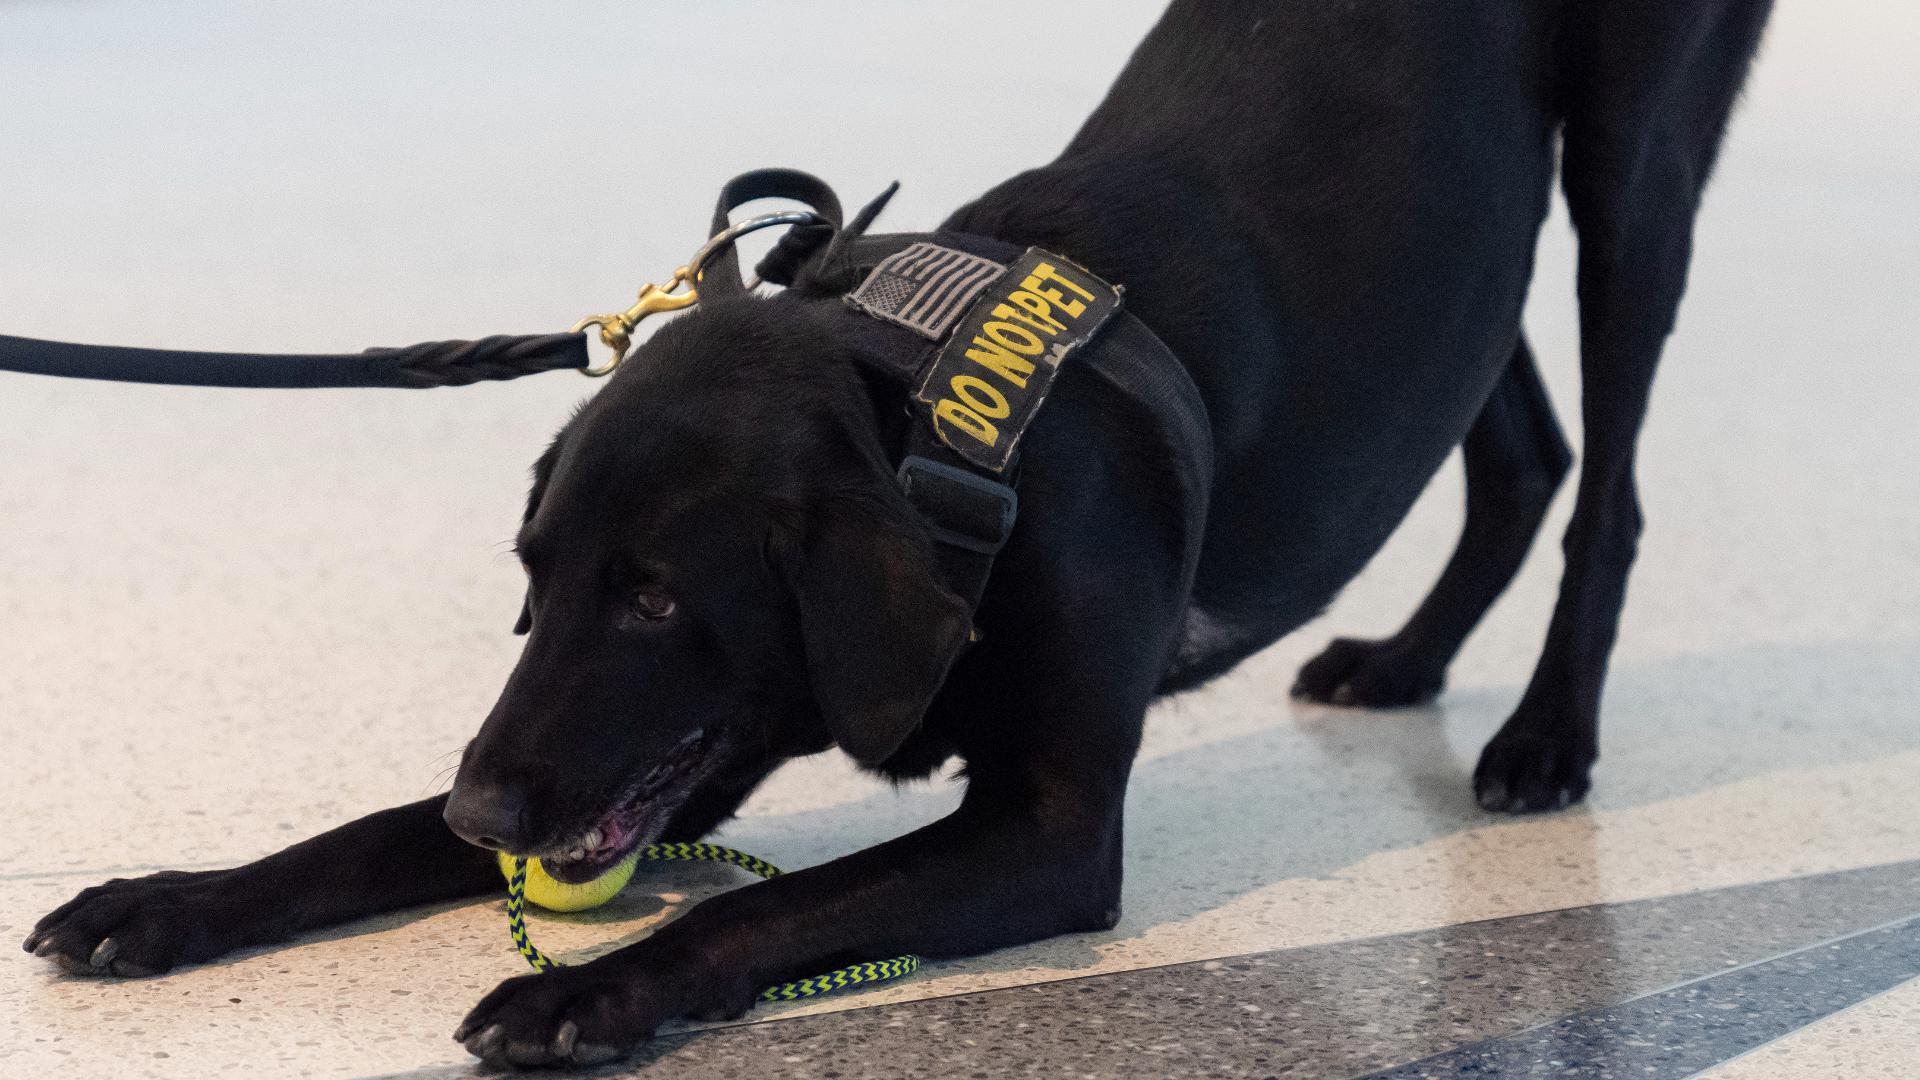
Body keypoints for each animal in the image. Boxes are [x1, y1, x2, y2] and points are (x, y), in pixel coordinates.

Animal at [26, 0, 1766, 1060]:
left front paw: (589, 997)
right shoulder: (686, 747)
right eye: (535, 579)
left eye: (657, 600)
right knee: (1520, 449)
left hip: (1633, 174)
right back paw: (1407, 659)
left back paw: (1543, 735)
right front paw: (164, 903)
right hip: (1457, 260)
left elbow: (769, 902)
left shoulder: (1049, 832)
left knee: (1609, 482)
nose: (485, 814)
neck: (931, 435)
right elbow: (349, 838)